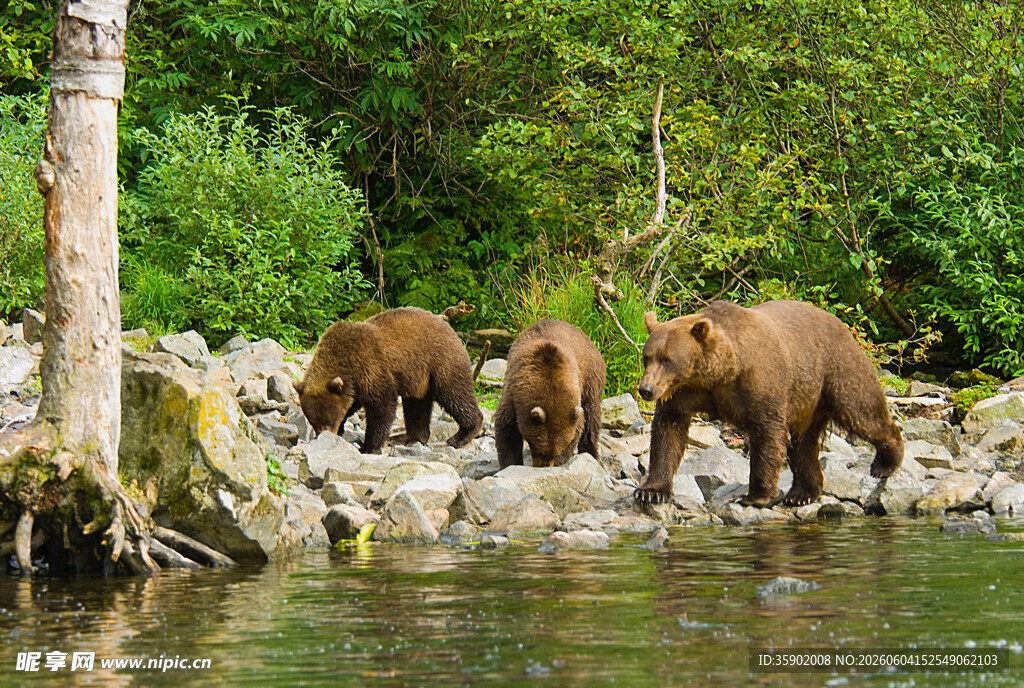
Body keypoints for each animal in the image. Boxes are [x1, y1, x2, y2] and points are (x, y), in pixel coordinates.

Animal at [295, 307, 483, 454]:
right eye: (313, 422)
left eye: (328, 421)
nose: (322, 436)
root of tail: (452, 331)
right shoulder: (354, 385)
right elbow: (352, 405)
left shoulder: (369, 366)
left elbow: (382, 406)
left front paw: (368, 447)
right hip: (418, 379)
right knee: (417, 406)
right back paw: (408, 438)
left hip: (441, 363)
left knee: (455, 395)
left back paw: (461, 436)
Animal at [494, 319, 607, 468]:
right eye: (539, 448)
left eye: (556, 451)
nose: (544, 465)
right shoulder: (513, 394)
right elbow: (507, 429)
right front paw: (511, 463)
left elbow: (579, 427)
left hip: (591, 378)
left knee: (592, 416)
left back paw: (592, 453)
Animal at [634, 299, 903, 507]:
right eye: (647, 357)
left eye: (667, 360)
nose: (646, 389)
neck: (719, 373)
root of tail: (840, 323)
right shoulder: (683, 393)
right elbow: (668, 432)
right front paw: (651, 491)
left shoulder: (759, 383)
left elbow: (767, 433)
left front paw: (754, 495)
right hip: (806, 398)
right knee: (803, 444)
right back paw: (802, 493)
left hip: (837, 369)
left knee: (862, 411)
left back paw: (885, 463)